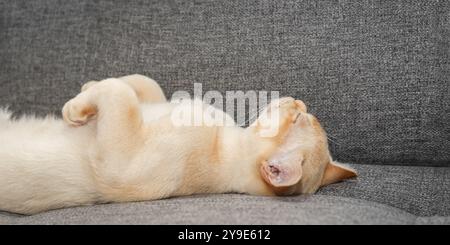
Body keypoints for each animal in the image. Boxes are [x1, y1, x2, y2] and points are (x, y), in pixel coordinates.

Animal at [0, 74, 358, 214]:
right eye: (301, 117)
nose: (299, 101)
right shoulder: (153, 98)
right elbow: (141, 85)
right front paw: (89, 86)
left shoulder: (122, 165)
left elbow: (119, 92)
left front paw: (75, 109)